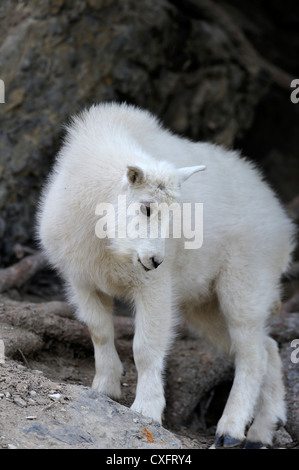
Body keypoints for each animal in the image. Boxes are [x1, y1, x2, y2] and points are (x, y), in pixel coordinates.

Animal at [37, 102, 296, 448]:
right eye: (146, 207)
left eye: (175, 214)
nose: (156, 259)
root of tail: (283, 224)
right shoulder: (82, 281)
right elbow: (99, 331)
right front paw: (105, 388)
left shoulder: (154, 286)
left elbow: (146, 348)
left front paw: (146, 410)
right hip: (205, 305)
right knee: (266, 347)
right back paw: (262, 431)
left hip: (246, 281)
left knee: (252, 353)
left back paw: (230, 430)